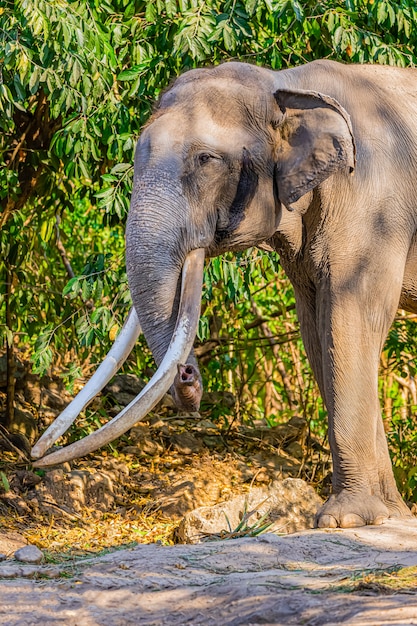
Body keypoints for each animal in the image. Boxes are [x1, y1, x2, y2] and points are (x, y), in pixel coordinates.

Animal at [32, 57, 416, 528]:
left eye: (206, 159)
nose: (188, 375)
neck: (285, 83)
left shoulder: (376, 203)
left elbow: (350, 317)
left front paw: (344, 520)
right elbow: (317, 330)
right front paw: (390, 517)